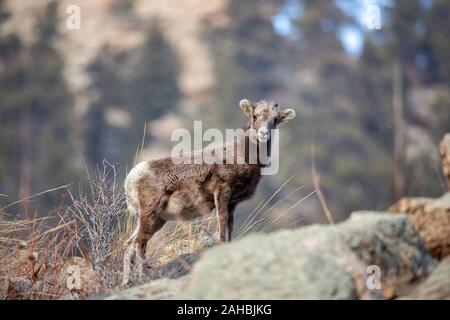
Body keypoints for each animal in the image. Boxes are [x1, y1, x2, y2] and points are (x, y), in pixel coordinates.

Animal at [123, 99, 298, 284]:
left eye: (275, 120)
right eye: (255, 116)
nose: (264, 134)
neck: (242, 155)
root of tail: (132, 178)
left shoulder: (232, 203)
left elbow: (229, 227)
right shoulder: (222, 192)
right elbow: (222, 225)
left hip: (156, 219)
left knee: (129, 245)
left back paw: (126, 282)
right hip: (150, 213)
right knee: (139, 243)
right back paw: (143, 278)